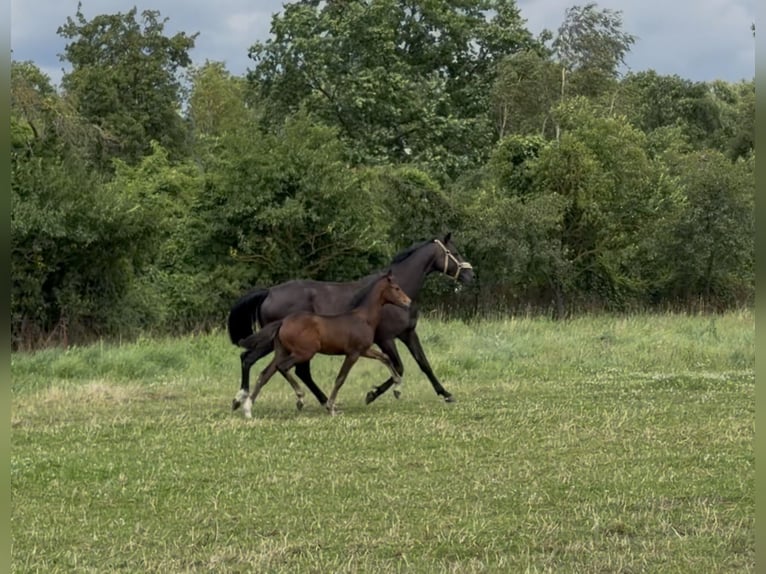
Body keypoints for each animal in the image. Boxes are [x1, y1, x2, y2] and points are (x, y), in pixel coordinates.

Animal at [238, 270, 412, 418]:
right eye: (396, 288)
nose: (408, 302)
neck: (363, 318)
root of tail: (283, 322)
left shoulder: (365, 350)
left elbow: (385, 358)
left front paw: (397, 389)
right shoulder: (353, 353)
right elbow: (340, 378)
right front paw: (331, 407)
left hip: (282, 351)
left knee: (266, 373)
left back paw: (247, 409)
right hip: (304, 353)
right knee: (283, 367)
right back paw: (300, 398)